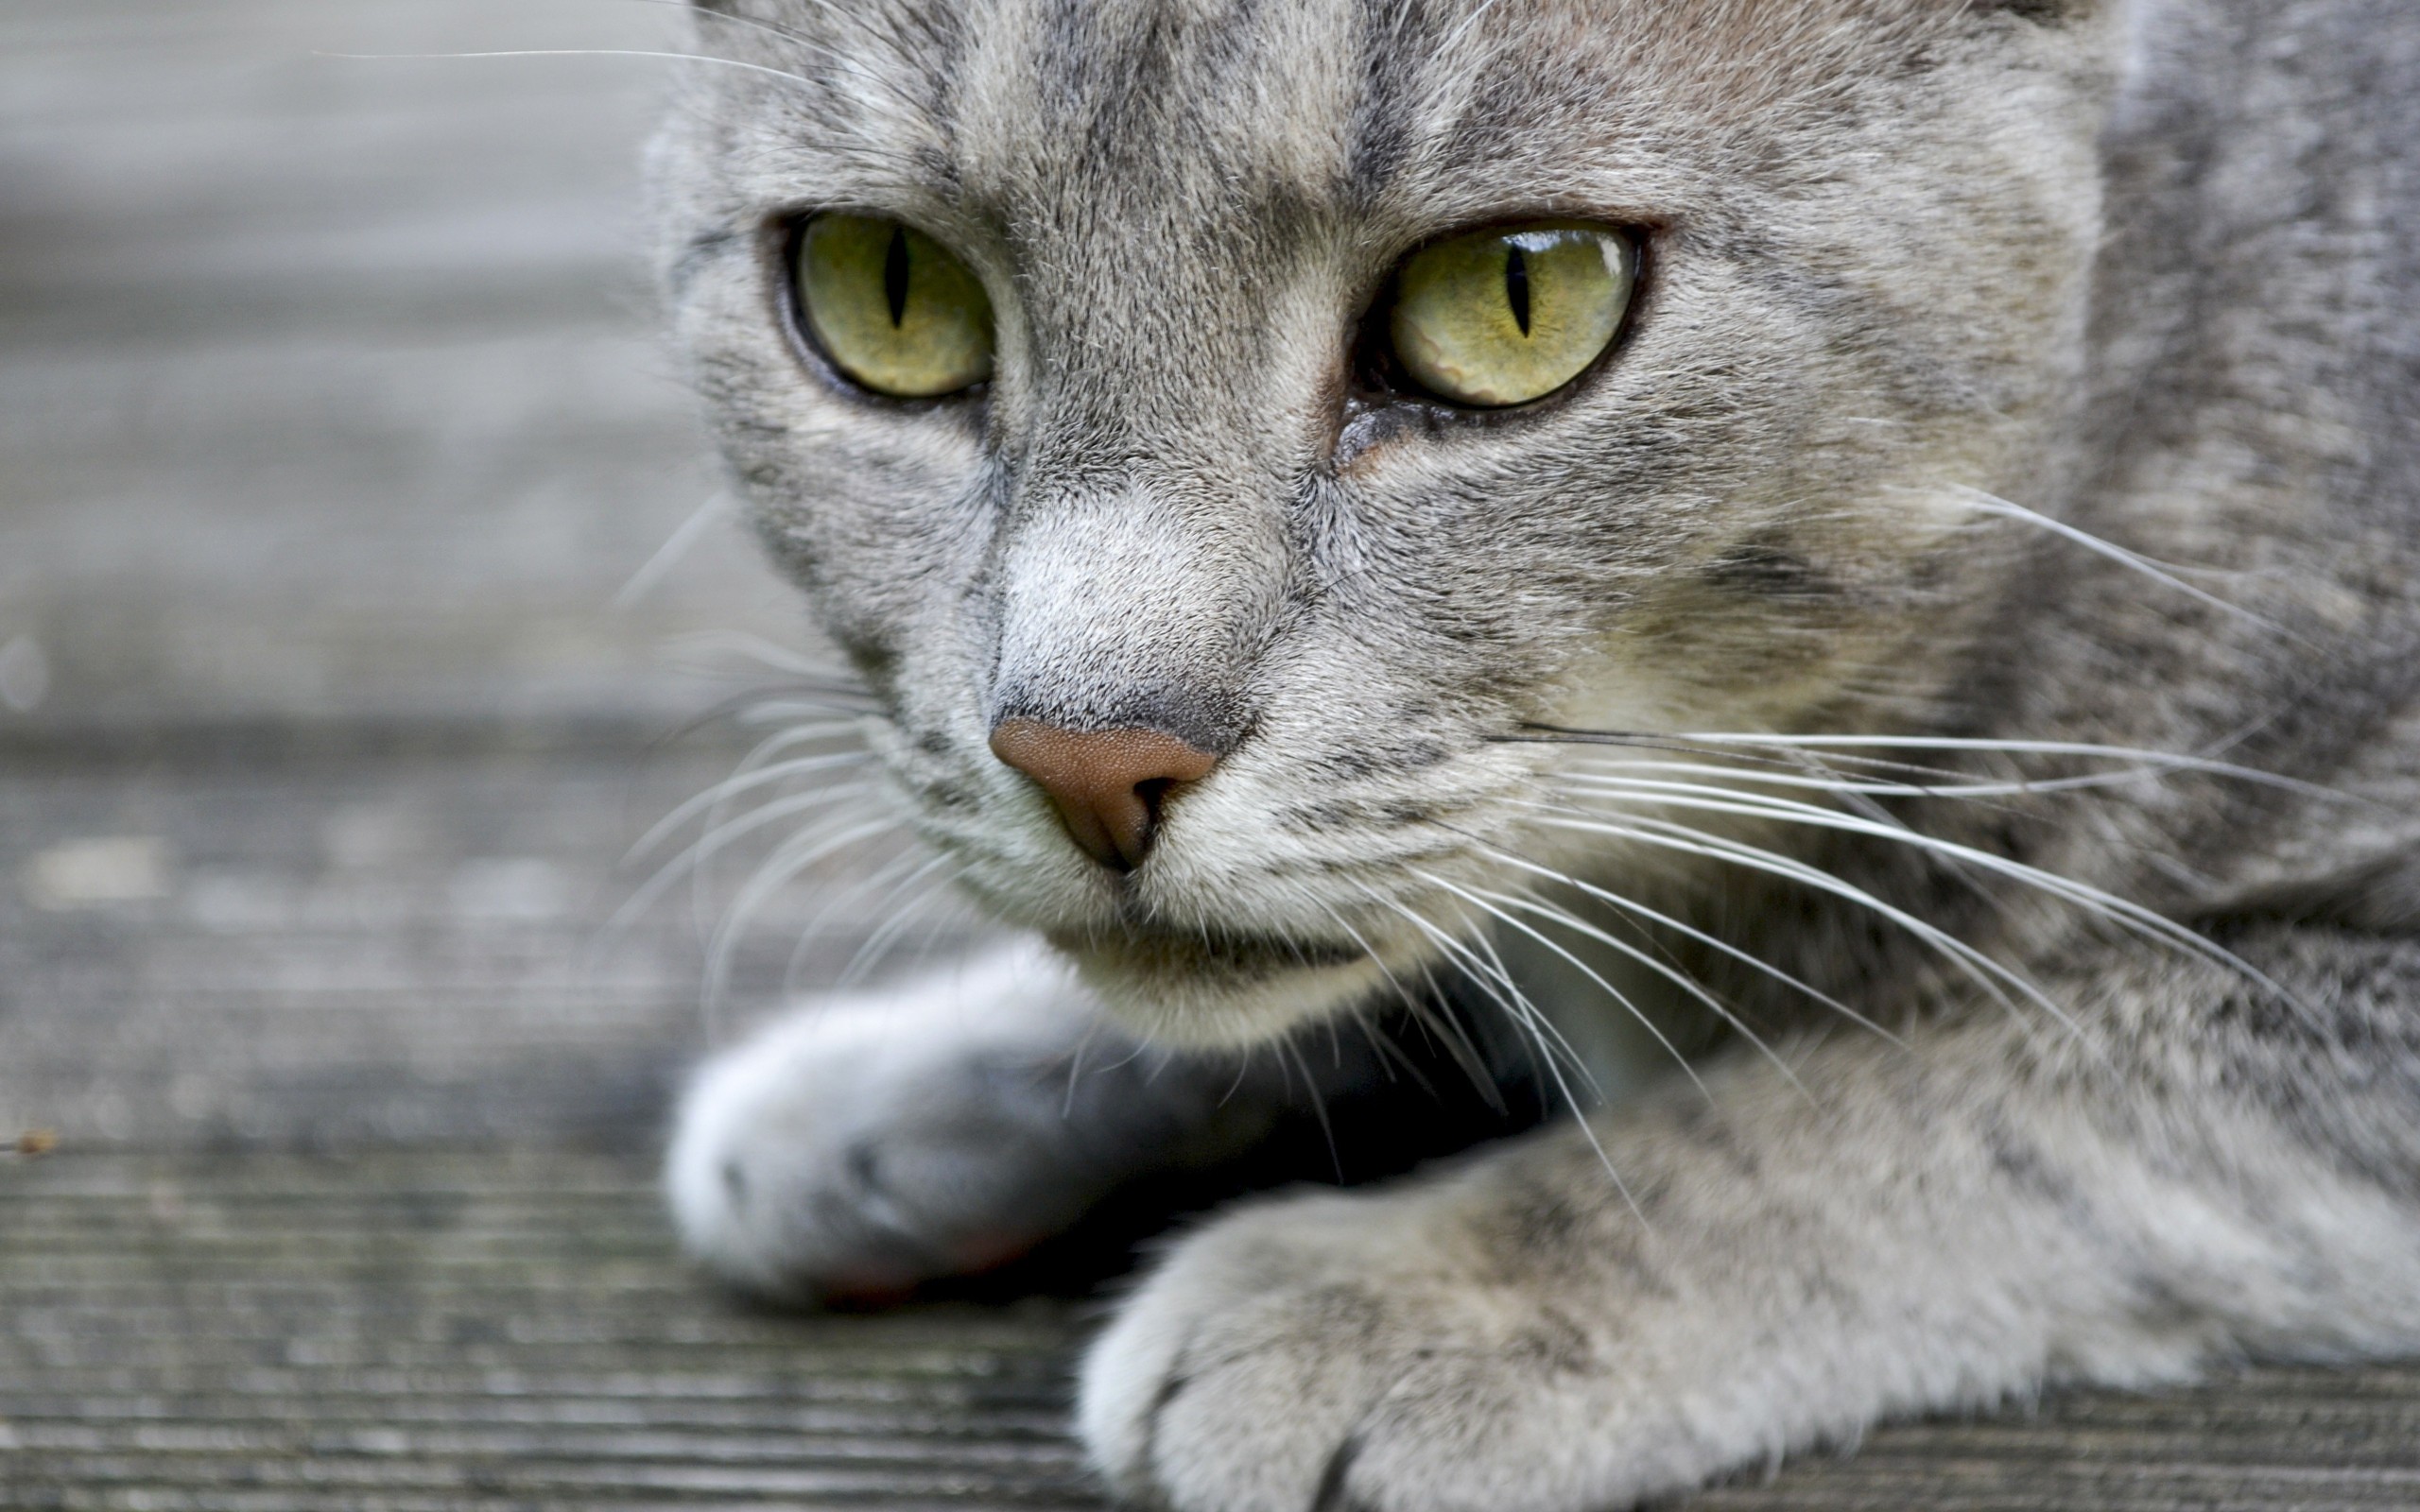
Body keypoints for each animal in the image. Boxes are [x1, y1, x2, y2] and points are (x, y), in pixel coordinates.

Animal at [643, 6, 2420, 1500]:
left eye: (1515, 297)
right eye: (886, 289)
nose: (1086, 755)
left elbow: (1925, 1094)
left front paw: (1398, 1295)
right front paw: (901, 1090)